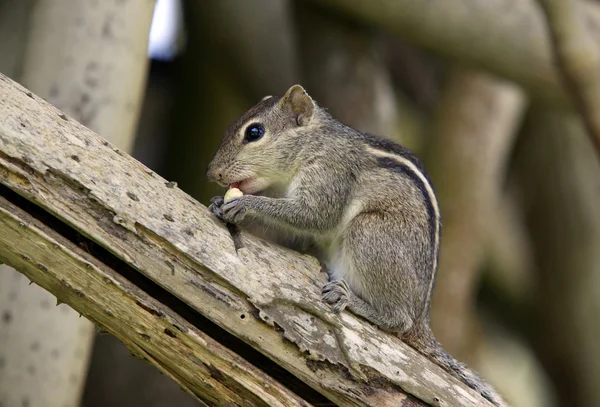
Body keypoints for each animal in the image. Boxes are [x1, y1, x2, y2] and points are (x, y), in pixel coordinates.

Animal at [206, 84, 502, 406]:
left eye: (254, 132)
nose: (212, 173)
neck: (314, 143)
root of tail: (422, 319)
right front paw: (219, 202)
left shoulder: (330, 175)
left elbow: (314, 216)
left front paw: (245, 204)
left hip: (369, 233)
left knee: (398, 320)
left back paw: (350, 299)